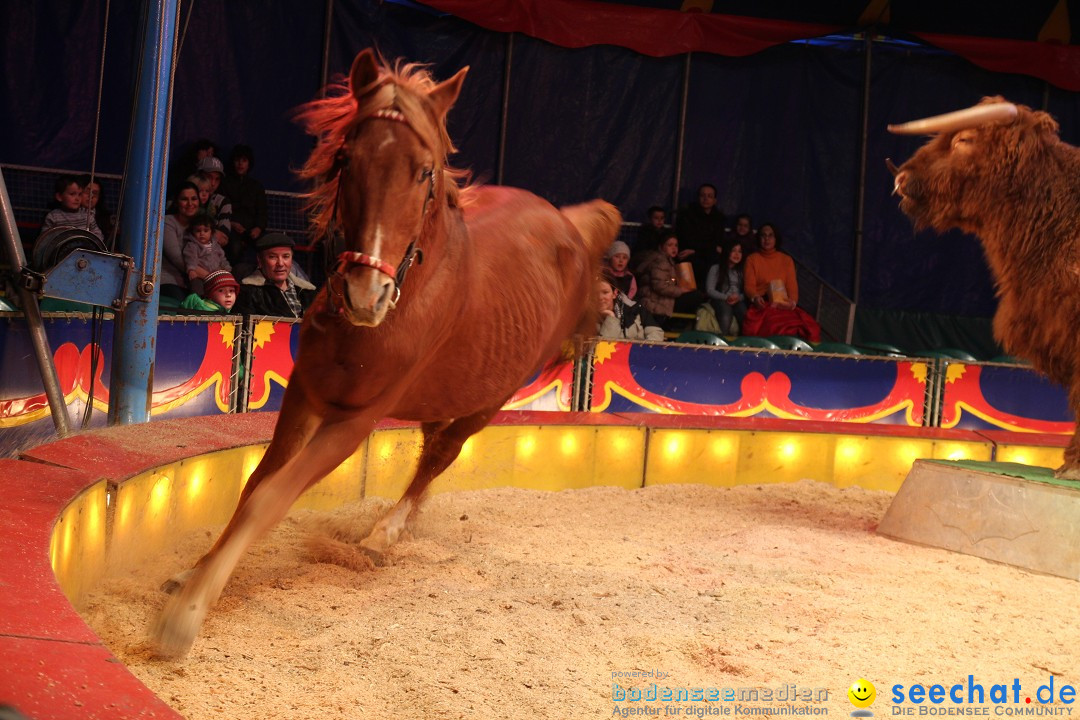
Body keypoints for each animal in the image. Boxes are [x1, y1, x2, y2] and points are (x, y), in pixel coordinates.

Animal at [155, 49, 622, 660]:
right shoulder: (305, 393)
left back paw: (384, 534)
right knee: (431, 448)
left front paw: (186, 615)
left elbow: (271, 498)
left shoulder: (354, 421)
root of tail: (570, 225)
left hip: (490, 398)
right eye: (346, 158)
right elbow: (256, 483)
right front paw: (192, 574)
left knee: (442, 453)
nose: (365, 295)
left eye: (424, 172)